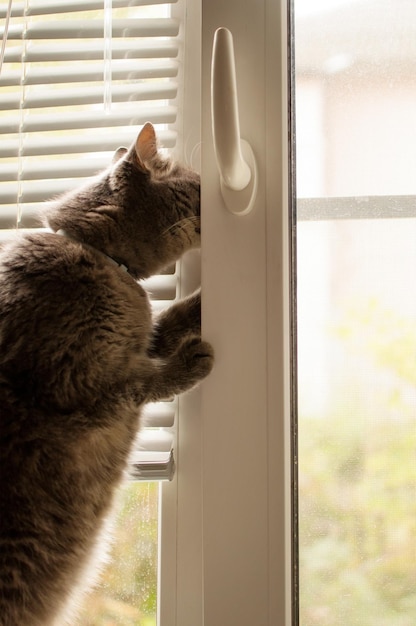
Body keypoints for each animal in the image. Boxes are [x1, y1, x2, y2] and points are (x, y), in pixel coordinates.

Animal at [0, 123, 214, 624]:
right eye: (197, 182)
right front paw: (188, 362)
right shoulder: (73, 387)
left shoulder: (137, 340)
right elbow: (141, 384)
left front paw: (201, 304)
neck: (103, 259)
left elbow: (163, 324)